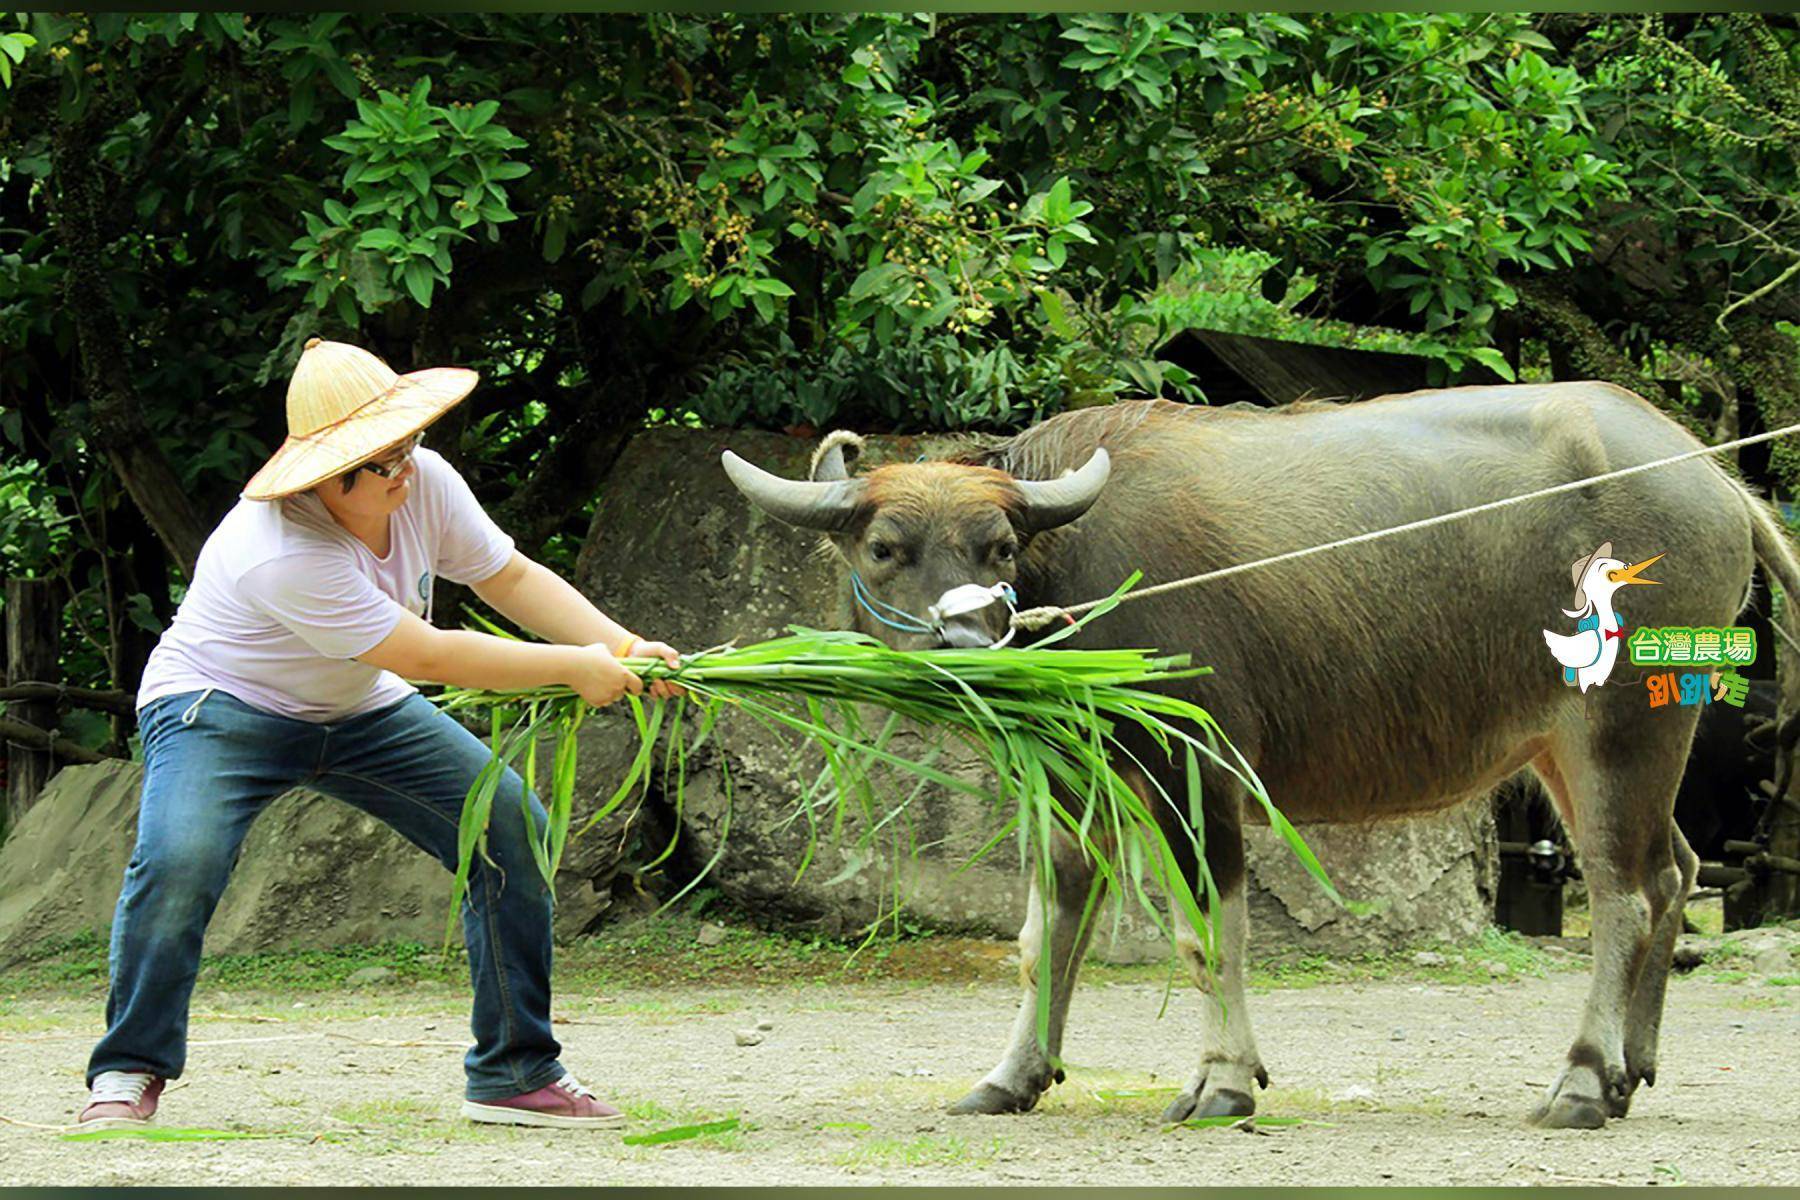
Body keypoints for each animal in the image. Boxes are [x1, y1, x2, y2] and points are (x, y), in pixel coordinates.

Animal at [720, 383, 1800, 1129]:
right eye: (886, 547)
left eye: (998, 547)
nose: (965, 638)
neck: (1077, 572)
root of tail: (1710, 477)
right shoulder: (1076, 783)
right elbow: (1047, 930)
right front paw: (1013, 1076)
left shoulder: (1195, 772)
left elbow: (1211, 935)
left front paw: (1225, 1083)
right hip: (1578, 745)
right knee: (1677, 871)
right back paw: (1628, 1074)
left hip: (1617, 727)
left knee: (1626, 891)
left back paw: (1579, 1082)